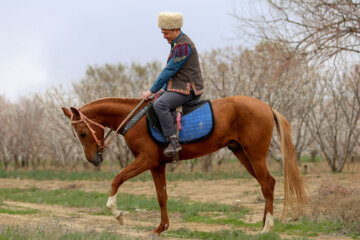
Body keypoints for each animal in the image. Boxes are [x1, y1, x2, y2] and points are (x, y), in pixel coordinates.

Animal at [62, 95, 306, 236]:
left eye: (82, 133)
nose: (93, 160)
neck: (136, 119)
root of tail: (266, 106)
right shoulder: (157, 165)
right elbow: (162, 196)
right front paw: (161, 228)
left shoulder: (145, 160)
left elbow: (117, 179)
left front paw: (117, 214)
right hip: (242, 154)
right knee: (267, 184)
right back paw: (263, 223)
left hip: (255, 154)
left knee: (267, 184)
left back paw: (267, 227)